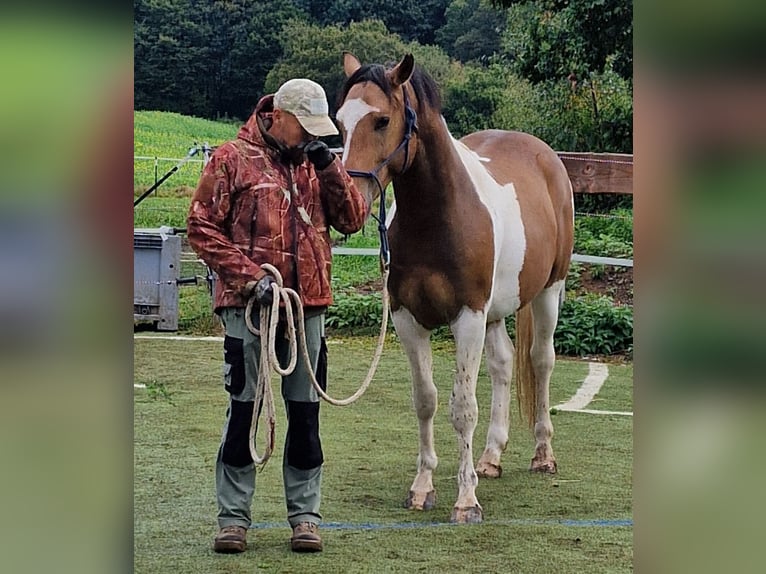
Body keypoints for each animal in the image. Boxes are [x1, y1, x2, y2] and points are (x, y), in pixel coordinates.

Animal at [336, 52, 574, 524]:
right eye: (339, 121)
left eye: (382, 120)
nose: (349, 200)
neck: (438, 217)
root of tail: (546, 156)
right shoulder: (408, 319)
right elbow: (425, 400)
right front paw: (422, 487)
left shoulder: (468, 316)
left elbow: (463, 408)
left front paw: (466, 501)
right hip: (497, 312)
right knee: (503, 365)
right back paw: (491, 459)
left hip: (545, 294)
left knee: (540, 362)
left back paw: (542, 455)